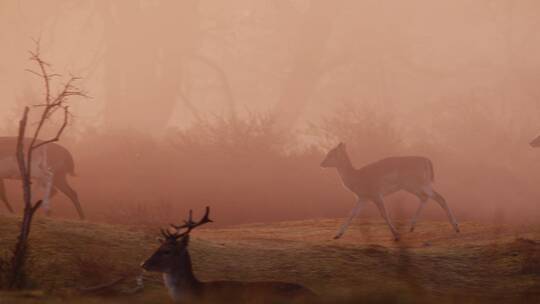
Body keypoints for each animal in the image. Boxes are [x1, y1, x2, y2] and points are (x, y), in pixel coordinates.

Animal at [320, 142, 460, 240]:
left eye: (331, 154)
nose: (322, 163)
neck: (356, 178)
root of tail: (427, 161)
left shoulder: (376, 194)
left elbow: (384, 214)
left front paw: (396, 235)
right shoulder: (363, 197)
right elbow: (351, 214)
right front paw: (337, 235)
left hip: (420, 183)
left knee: (440, 198)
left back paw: (456, 227)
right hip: (414, 186)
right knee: (425, 198)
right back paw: (412, 227)